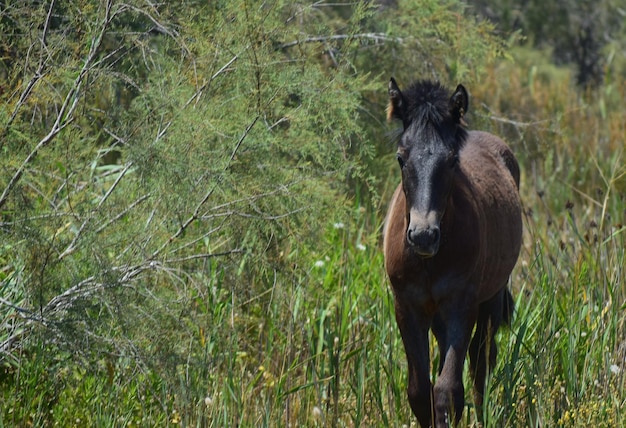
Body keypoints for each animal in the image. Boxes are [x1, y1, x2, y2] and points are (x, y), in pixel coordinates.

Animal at [382, 78, 520, 426]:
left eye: (452, 161)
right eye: (401, 157)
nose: (423, 236)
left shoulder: (462, 304)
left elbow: (449, 390)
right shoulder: (408, 307)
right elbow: (419, 392)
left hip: (490, 298)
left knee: (481, 362)